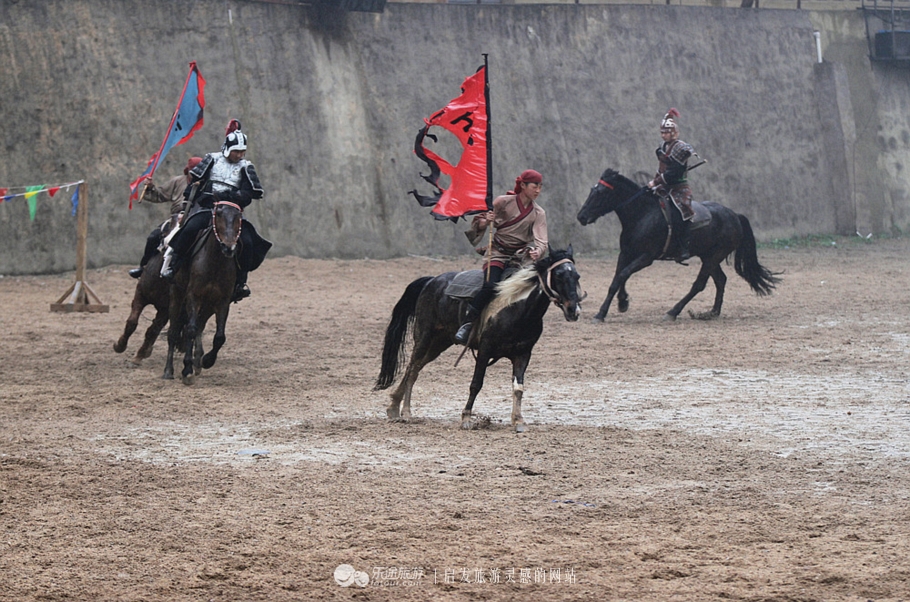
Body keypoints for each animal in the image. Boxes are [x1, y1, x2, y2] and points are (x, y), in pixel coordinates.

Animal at [163, 199, 242, 382]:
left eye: (238, 216)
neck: (215, 261)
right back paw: (169, 370)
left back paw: (198, 360)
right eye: (218, 214)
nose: (229, 248)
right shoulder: (194, 296)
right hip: (177, 295)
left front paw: (206, 360)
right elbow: (190, 330)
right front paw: (186, 368)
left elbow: (219, 336)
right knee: (174, 332)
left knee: (199, 326)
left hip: (208, 305)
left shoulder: (222, 301)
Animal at [376, 245, 584, 432]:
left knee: (416, 368)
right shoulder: (485, 350)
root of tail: (432, 280)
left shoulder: (523, 354)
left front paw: (518, 421)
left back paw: (396, 408)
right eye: (558, 275)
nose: (573, 310)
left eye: (577, 276)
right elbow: (476, 384)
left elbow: (518, 387)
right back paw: (404, 411)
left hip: (440, 343)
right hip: (424, 336)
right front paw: (466, 419)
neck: (518, 309)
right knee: (412, 368)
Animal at [576, 166, 784, 322]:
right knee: (720, 280)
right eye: (592, 190)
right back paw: (711, 312)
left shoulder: (646, 257)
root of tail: (735, 215)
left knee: (699, 285)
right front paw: (615, 305)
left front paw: (614, 306)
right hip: (708, 257)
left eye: (601, 192)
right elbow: (617, 279)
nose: (581, 217)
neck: (642, 214)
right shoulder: (626, 253)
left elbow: (623, 275)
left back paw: (673, 312)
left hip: (713, 257)